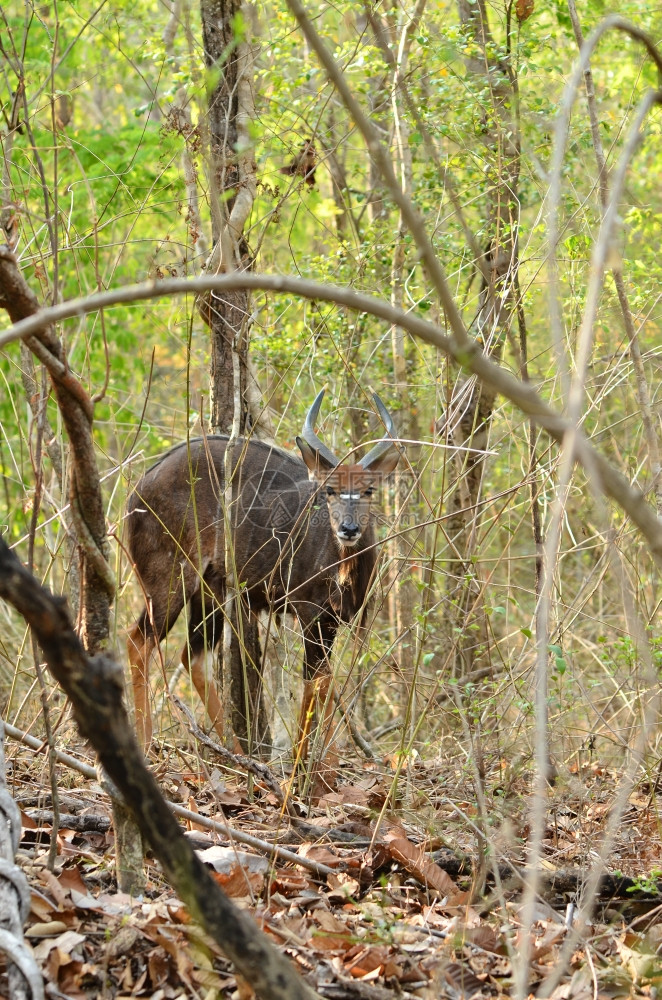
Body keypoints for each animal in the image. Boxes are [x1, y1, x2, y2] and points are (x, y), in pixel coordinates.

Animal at [127, 390, 402, 752]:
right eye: (330, 489)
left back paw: (237, 754)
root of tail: (135, 494)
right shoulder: (308, 611)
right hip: (168, 579)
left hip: (211, 589)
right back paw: (146, 746)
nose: (349, 529)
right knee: (138, 642)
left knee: (193, 656)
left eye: (369, 489)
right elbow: (316, 683)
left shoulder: (332, 621)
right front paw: (302, 764)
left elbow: (325, 685)